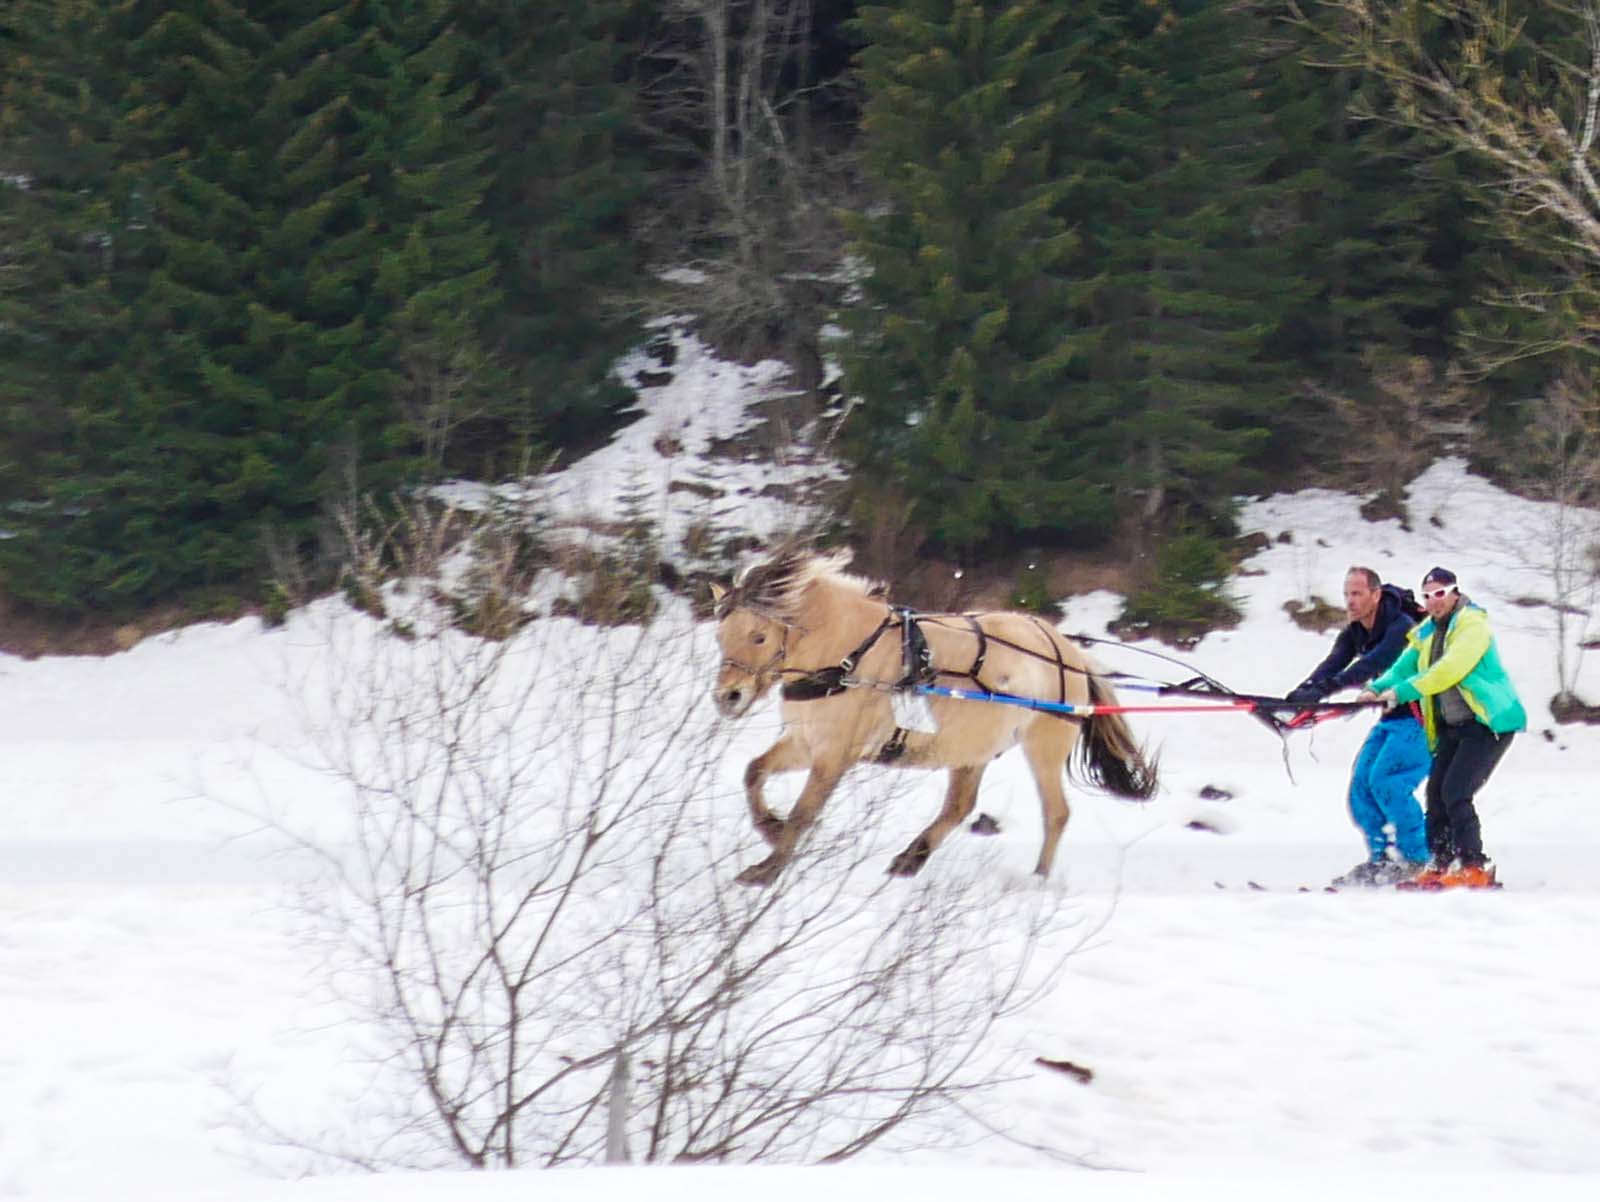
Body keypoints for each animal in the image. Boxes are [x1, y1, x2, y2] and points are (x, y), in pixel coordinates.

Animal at [709, 547, 1159, 886]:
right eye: (720, 635)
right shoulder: (805, 742)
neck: (850, 656)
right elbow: (754, 773)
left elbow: (804, 811)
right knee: (959, 806)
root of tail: (1067, 651)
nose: (728, 697)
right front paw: (770, 827)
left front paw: (767, 869)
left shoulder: (834, 753)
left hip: (1042, 747)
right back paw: (912, 858)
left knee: (1056, 813)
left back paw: (1037, 879)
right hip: (972, 748)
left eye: (759, 636)